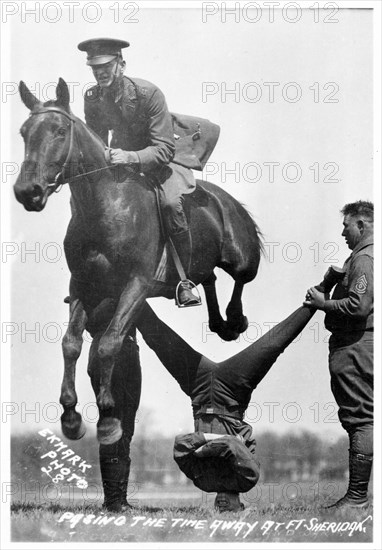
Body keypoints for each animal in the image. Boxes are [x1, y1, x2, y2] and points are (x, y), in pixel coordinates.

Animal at [12, 78, 262, 448]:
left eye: (59, 130)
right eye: (24, 132)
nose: (27, 191)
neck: (105, 206)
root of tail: (223, 198)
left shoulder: (136, 284)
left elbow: (109, 344)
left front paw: (107, 419)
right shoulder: (83, 285)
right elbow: (71, 344)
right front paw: (71, 417)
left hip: (242, 257)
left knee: (239, 279)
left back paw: (232, 321)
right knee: (209, 278)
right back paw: (216, 319)